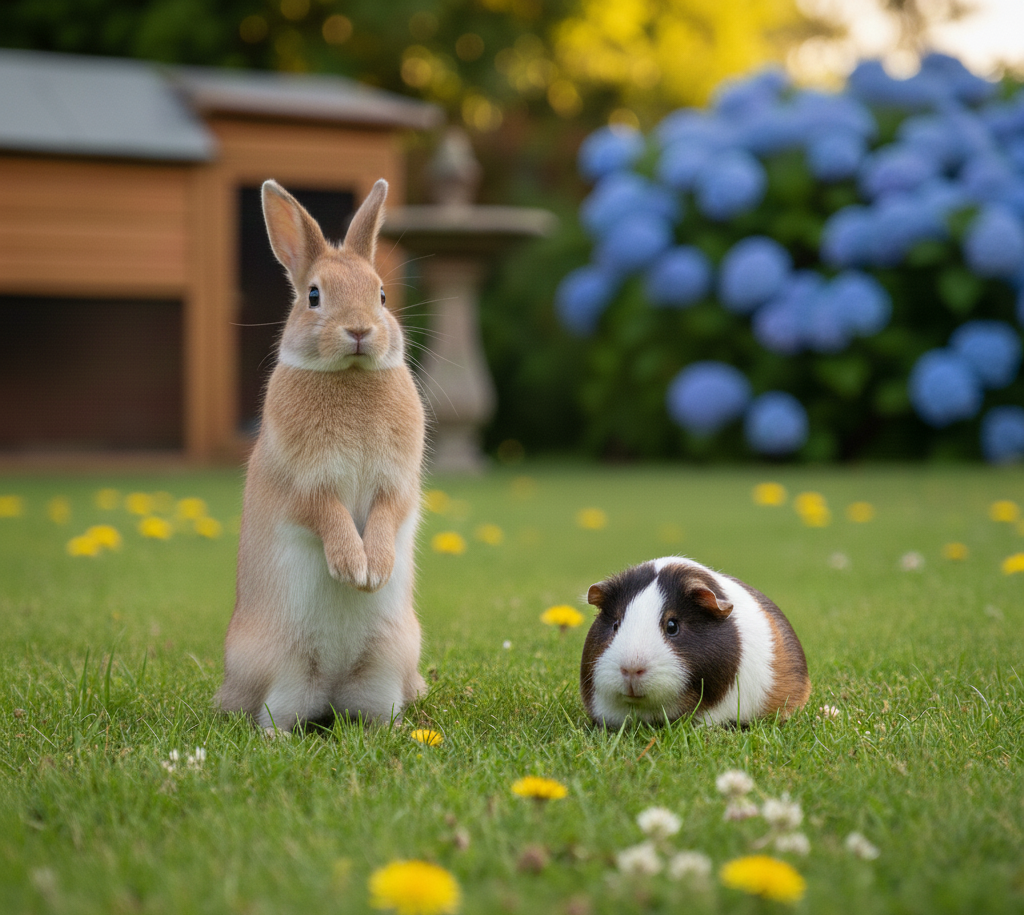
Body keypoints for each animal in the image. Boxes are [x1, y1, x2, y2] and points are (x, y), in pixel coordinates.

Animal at [216, 178, 427, 733]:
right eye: (314, 295)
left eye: (381, 294)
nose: (359, 331)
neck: (350, 376)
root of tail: (331, 691)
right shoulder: (302, 486)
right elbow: (328, 514)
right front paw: (353, 568)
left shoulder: (398, 484)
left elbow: (386, 514)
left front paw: (375, 569)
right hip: (276, 669)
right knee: (273, 717)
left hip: (391, 660)